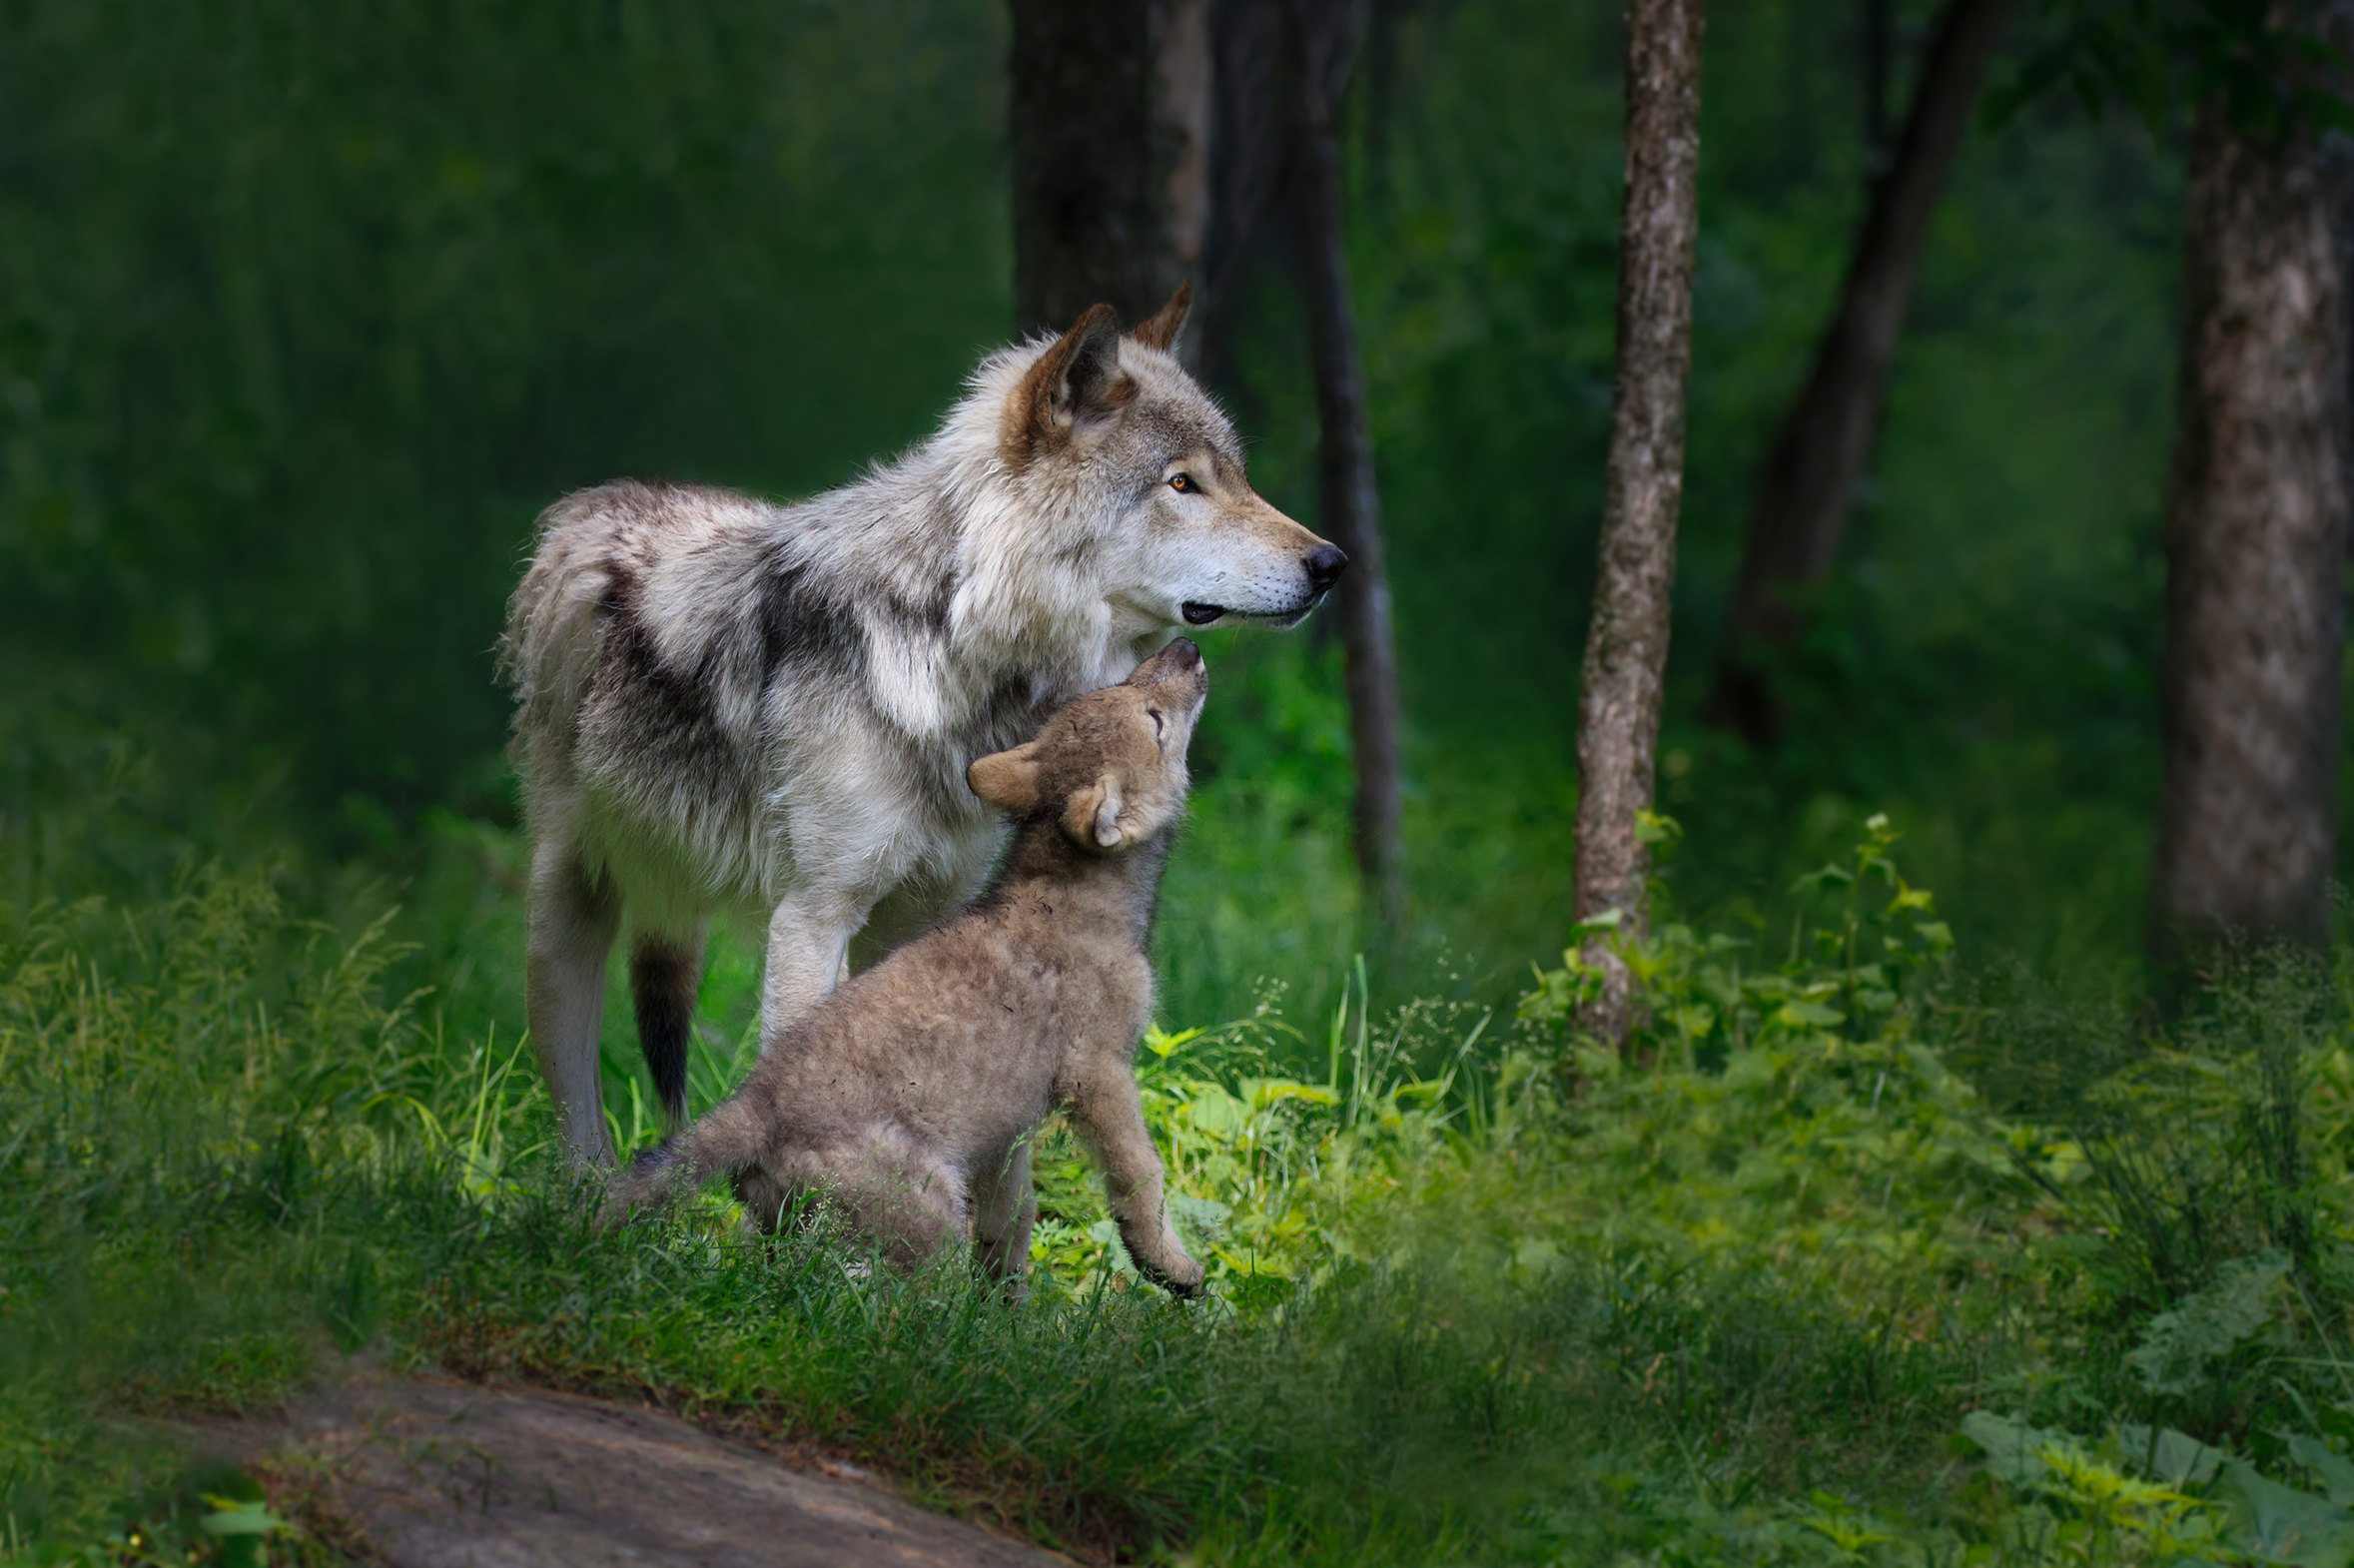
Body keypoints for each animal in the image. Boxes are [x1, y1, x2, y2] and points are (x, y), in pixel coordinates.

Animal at [501, 287, 1346, 1158]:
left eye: (1236, 477)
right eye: (1181, 484)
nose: (1332, 565)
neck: (951, 647)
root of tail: (600, 501)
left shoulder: (928, 913)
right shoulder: (812, 917)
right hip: (565, 913)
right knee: (576, 1104)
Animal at [597, 635, 1214, 1289]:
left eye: (1121, 688)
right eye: (1154, 721)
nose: (1187, 647)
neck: (1076, 894)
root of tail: (753, 1104)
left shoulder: (1008, 1132)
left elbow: (1012, 1222)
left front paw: (1009, 1305)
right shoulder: (1098, 1073)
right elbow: (1140, 1178)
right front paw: (1172, 1268)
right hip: (932, 1213)